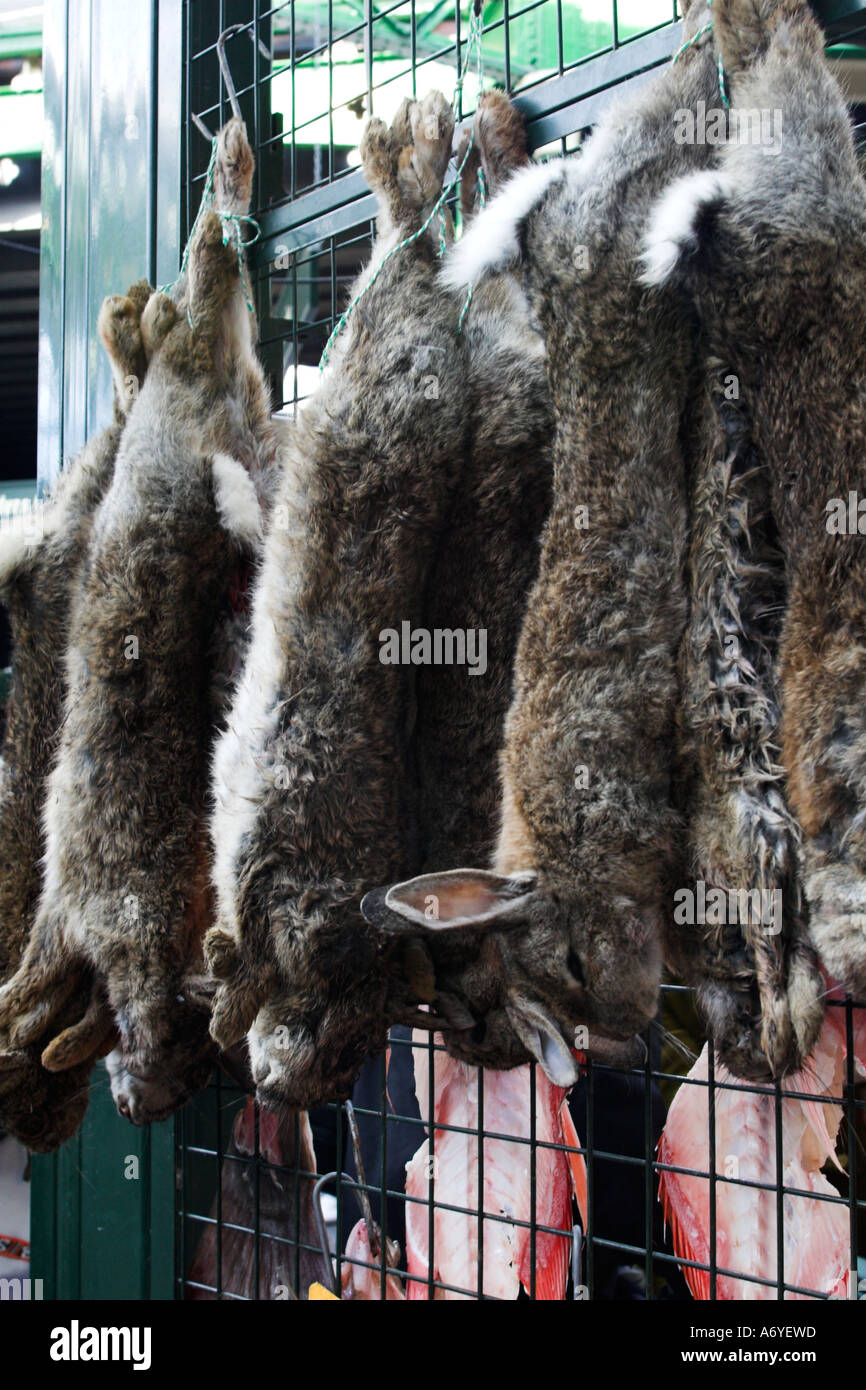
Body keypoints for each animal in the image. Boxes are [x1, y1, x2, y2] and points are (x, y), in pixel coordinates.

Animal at [0, 119, 274, 1125]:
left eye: (191, 1071)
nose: (136, 1110)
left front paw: (29, 1029)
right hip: (210, 374)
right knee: (198, 289)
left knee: (198, 281)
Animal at [206, 92, 472, 1110]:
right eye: (337, 1038)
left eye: (352, 1059)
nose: (280, 1095)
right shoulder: (275, 887)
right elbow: (244, 951)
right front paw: (227, 998)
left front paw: (225, 1007)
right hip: (371, 371)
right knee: (401, 254)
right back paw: (410, 149)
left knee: (404, 241)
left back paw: (409, 150)